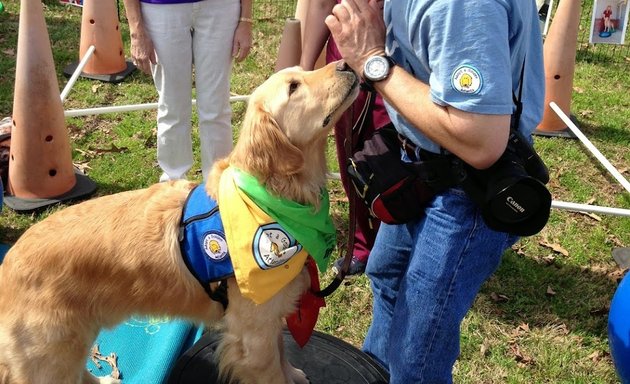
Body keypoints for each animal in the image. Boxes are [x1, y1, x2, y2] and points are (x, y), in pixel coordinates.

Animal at [0, 60, 360, 384]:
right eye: (294, 87)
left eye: (304, 70)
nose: (346, 64)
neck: (268, 195)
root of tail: (9, 262)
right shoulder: (253, 335)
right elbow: (273, 372)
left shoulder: (270, 323)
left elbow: (284, 357)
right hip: (52, 357)